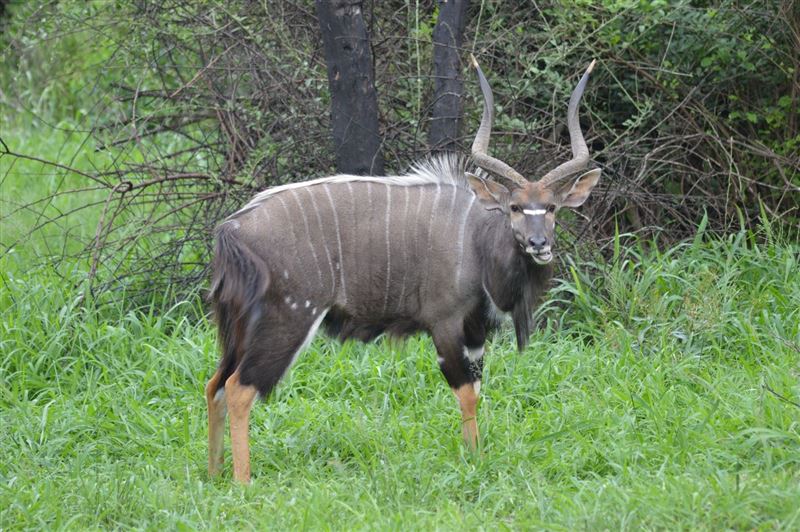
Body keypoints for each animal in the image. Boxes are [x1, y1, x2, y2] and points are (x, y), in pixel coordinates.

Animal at [206, 55, 600, 483]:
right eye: (515, 207)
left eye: (551, 208)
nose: (538, 244)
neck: (477, 239)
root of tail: (232, 230)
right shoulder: (445, 324)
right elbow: (465, 393)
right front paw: (473, 461)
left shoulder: (475, 332)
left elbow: (477, 391)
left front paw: (476, 455)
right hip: (288, 320)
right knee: (240, 388)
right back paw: (242, 482)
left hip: (239, 328)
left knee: (215, 384)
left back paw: (212, 473)